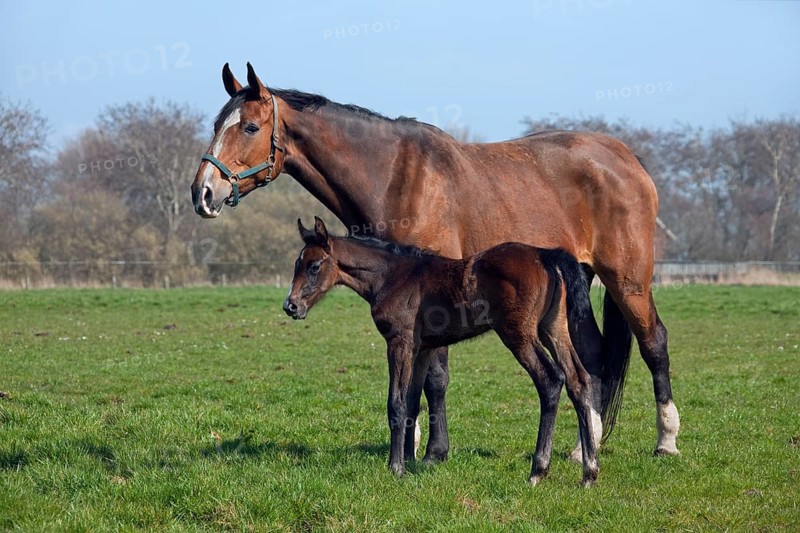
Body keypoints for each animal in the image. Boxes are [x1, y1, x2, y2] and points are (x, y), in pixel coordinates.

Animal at [284, 216, 602, 486]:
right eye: (297, 264)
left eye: (314, 266)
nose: (291, 306)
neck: (392, 276)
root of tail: (544, 255)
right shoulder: (422, 348)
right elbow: (412, 401)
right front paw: (411, 463)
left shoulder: (398, 342)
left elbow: (396, 403)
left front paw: (395, 468)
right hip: (554, 328)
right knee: (579, 381)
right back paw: (589, 472)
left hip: (519, 334)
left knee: (551, 380)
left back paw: (538, 470)